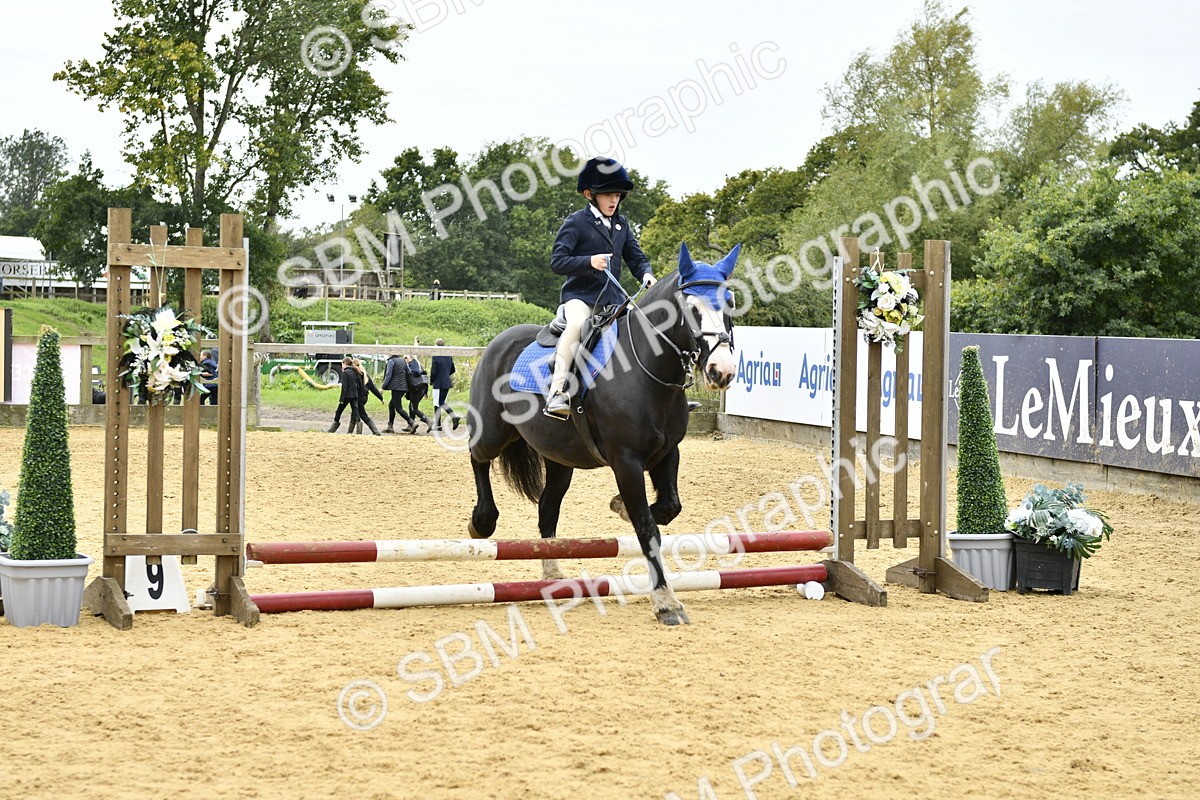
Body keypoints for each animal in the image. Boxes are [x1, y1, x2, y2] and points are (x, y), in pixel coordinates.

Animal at [466, 242, 740, 625]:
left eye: (729, 302)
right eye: (692, 307)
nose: (722, 371)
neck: (647, 370)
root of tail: (497, 342)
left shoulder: (667, 452)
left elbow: (669, 507)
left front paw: (619, 506)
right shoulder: (626, 461)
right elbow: (647, 528)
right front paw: (666, 603)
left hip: (559, 459)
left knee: (547, 509)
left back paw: (552, 574)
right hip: (493, 433)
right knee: (477, 457)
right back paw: (482, 521)